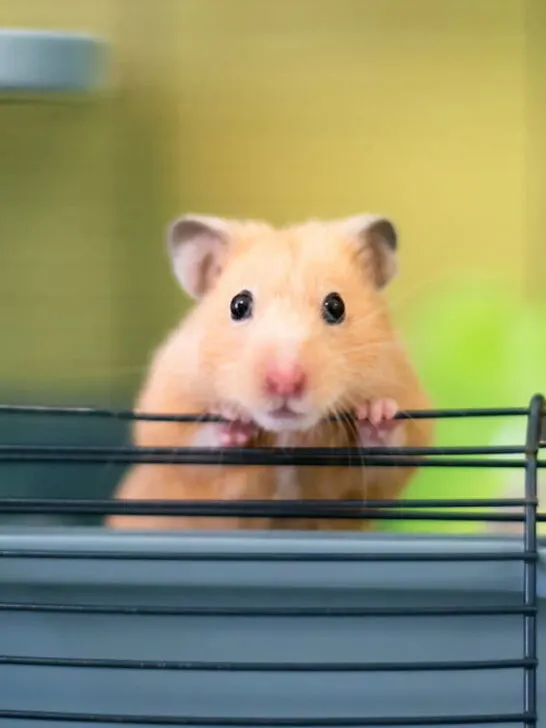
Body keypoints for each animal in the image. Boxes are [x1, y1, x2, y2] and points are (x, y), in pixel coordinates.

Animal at [107, 213, 433, 531]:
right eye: (238, 304)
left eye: (336, 305)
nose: (284, 383)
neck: (286, 432)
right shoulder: (166, 412)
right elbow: (190, 444)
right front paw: (233, 420)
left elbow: (390, 452)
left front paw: (377, 412)